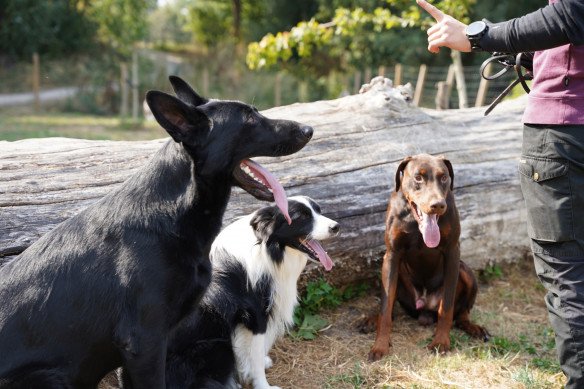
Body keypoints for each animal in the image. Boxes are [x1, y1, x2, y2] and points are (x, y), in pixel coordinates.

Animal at [368, 155, 490, 360]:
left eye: (444, 177)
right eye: (418, 177)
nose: (438, 205)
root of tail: (424, 309)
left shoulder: (452, 253)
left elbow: (446, 308)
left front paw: (441, 342)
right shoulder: (392, 256)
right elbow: (385, 308)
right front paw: (380, 345)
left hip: (466, 272)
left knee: (461, 314)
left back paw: (474, 328)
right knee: (391, 308)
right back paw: (368, 320)